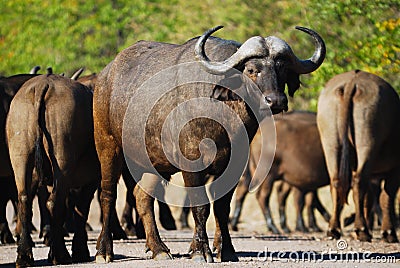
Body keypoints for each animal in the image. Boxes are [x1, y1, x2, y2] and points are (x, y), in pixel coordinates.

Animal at [6, 73, 100, 266]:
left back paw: (24, 255)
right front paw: (80, 250)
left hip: (21, 155)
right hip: (62, 163)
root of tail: (43, 84)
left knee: (24, 200)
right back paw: (59, 255)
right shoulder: (91, 179)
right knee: (54, 202)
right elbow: (81, 209)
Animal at [94, 25, 324, 262]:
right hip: (107, 146)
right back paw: (104, 250)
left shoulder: (235, 166)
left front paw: (227, 249)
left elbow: (222, 207)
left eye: (282, 69)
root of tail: (105, 76)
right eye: (252, 69)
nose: (275, 101)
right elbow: (200, 205)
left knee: (142, 198)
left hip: (149, 162)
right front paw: (200, 250)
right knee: (108, 195)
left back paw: (159, 248)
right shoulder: (192, 165)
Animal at [318, 70, 398, 242]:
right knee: (359, 182)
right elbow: (386, 196)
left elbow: (369, 199)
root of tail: (351, 83)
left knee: (336, 182)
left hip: (331, 144)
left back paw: (334, 229)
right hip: (366, 143)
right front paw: (388, 232)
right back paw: (362, 230)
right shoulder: (395, 169)